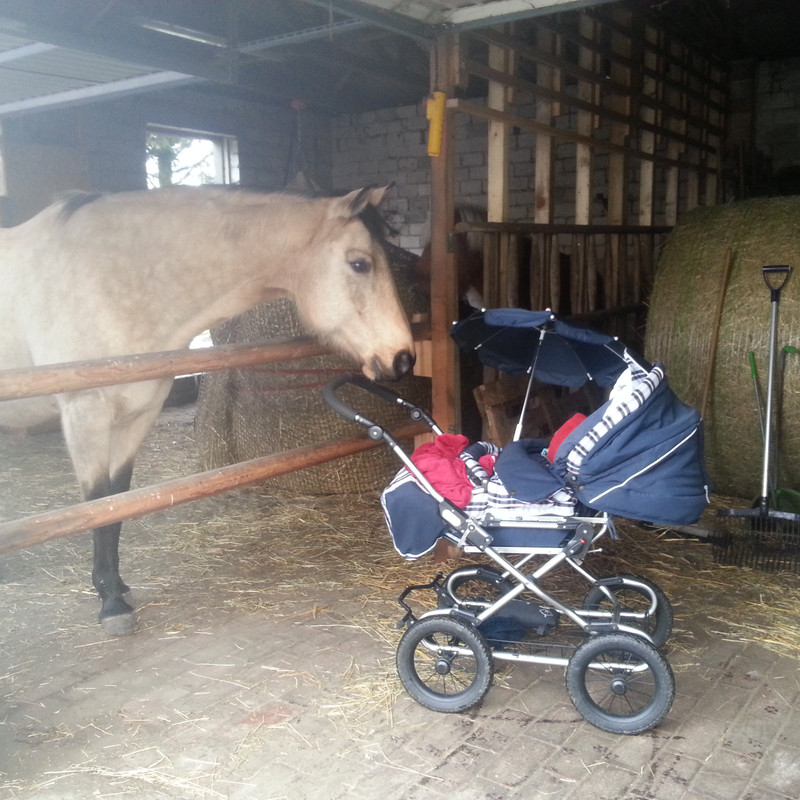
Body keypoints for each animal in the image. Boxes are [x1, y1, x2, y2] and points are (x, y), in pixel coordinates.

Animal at [0, 184, 412, 636]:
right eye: (360, 264)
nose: (402, 359)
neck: (110, 279)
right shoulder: (84, 415)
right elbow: (96, 505)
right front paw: (111, 605)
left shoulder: (136, 415)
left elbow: (118, 500)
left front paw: (115, 586)